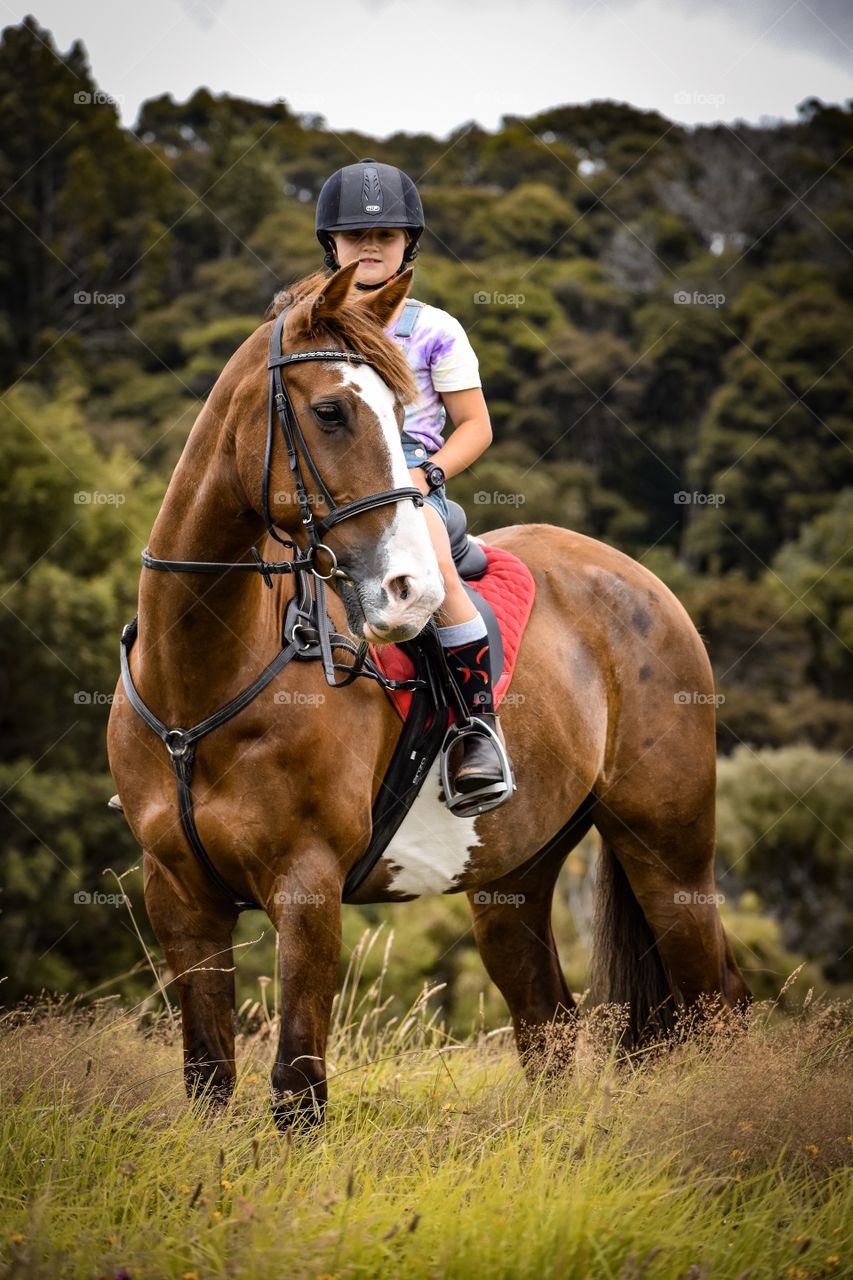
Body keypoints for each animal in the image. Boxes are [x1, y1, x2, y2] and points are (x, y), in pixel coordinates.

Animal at [107, 260, 750, 1127]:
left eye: (397, 407)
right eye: (331, 411)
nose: (408, 590)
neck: (198, 685)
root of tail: (639, 580)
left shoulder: (306, 888)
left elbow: (296, 1091)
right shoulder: (178, 895)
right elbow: (208, 1078)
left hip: (669, 858)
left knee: (718, 1002)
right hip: (514, 879)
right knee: (548, 1026)